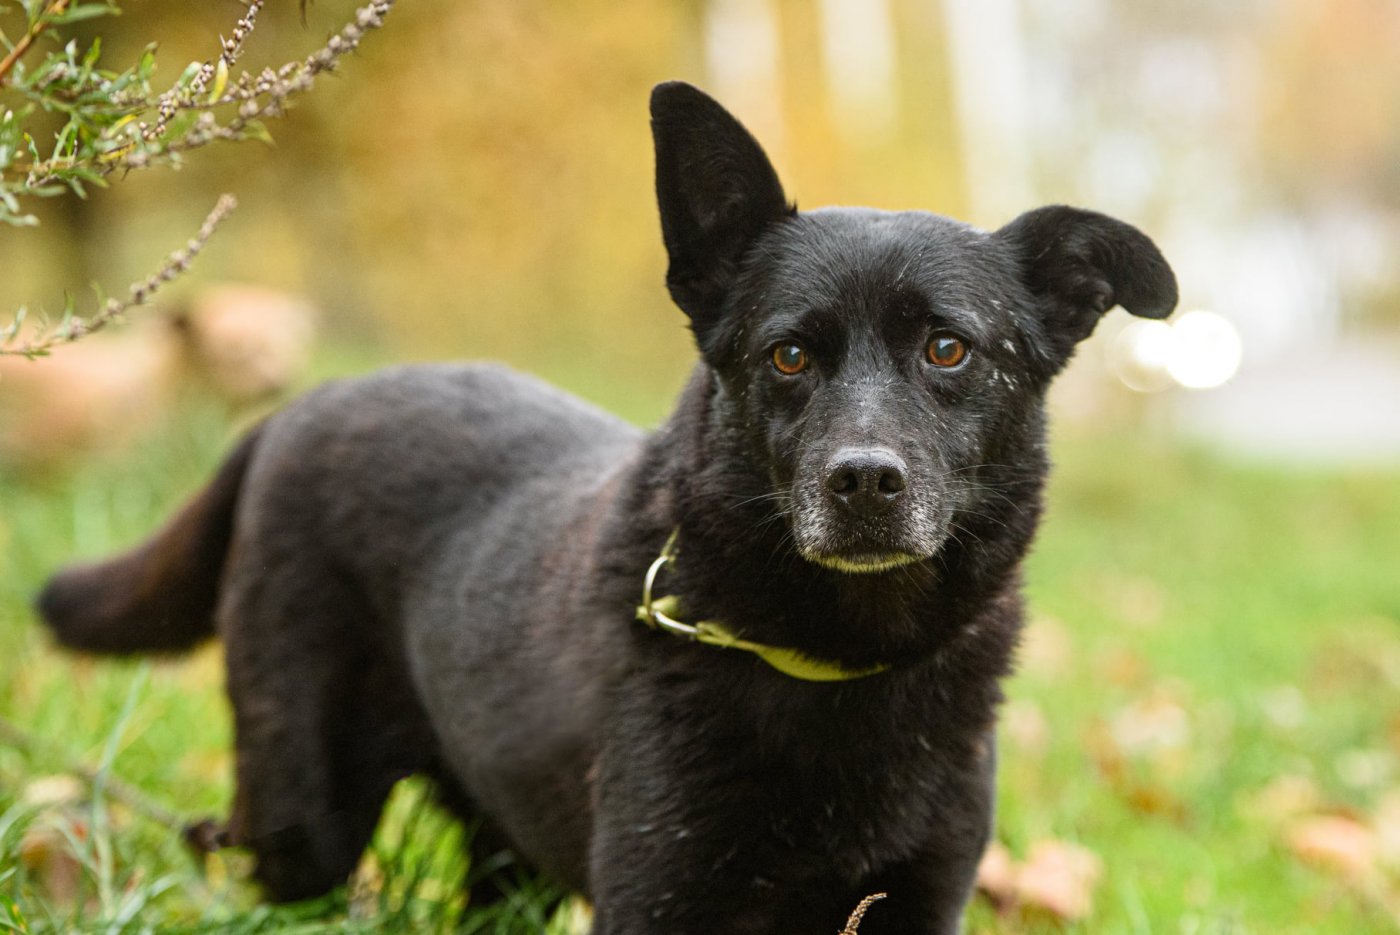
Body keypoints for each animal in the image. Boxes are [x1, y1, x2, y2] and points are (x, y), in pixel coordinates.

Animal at [38, 83, 1176, 929]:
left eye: (948, 348)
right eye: (788, 355)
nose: (863, 482)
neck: (832, 657)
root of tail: (293, 410)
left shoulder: (920, 895)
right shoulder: (661, 895)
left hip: (503, 843)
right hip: (302, 817)